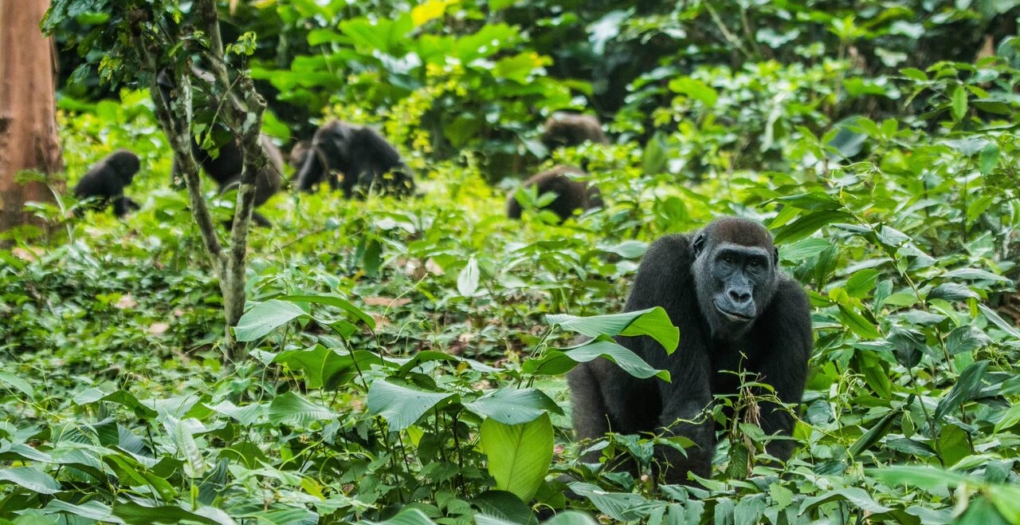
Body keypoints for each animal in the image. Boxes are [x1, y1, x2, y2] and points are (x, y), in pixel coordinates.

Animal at [567, 217, 812, 484]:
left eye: (755, 265)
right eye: (728, 260)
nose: (739, 294)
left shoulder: (795, 307)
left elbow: (771, 431)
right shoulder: (664, 263)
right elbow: (690, 411)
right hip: (583, 363)